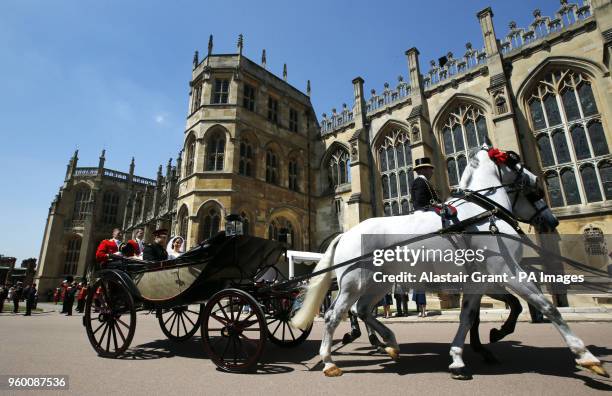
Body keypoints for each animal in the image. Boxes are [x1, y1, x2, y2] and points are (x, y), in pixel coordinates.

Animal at [292, 145, 608, 378]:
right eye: (531, 186)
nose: (551, 221)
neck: (480, 215)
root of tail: (345, 234)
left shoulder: (479, 282)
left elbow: (468, 317)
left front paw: (460, 356)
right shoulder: (507, 271)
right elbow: (547, 307)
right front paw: (585, 355)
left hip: (377, 284)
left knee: (363, 311)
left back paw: (390, 343)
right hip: (354, 282)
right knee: (335, 315)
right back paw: (329, 361)